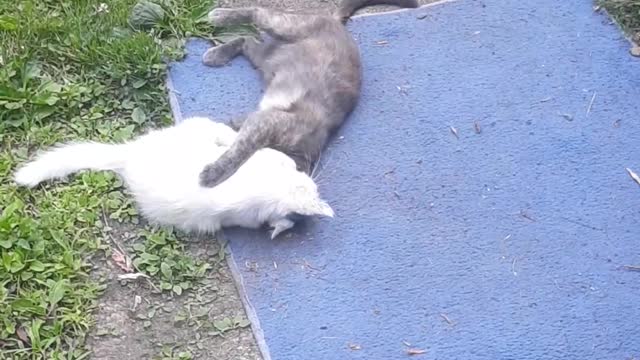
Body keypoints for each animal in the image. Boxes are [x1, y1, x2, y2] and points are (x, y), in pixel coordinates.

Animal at [200, 0, 420, 188]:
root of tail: (337, 23)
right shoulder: (268, 123)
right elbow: (241, 149)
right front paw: (214, 173)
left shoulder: (262, 119)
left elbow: (241, 132)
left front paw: (230, 126)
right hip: (287, 26)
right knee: (258, 12)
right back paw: (218, 16)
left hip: (264, 59)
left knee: (247, 40)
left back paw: (217, 54)